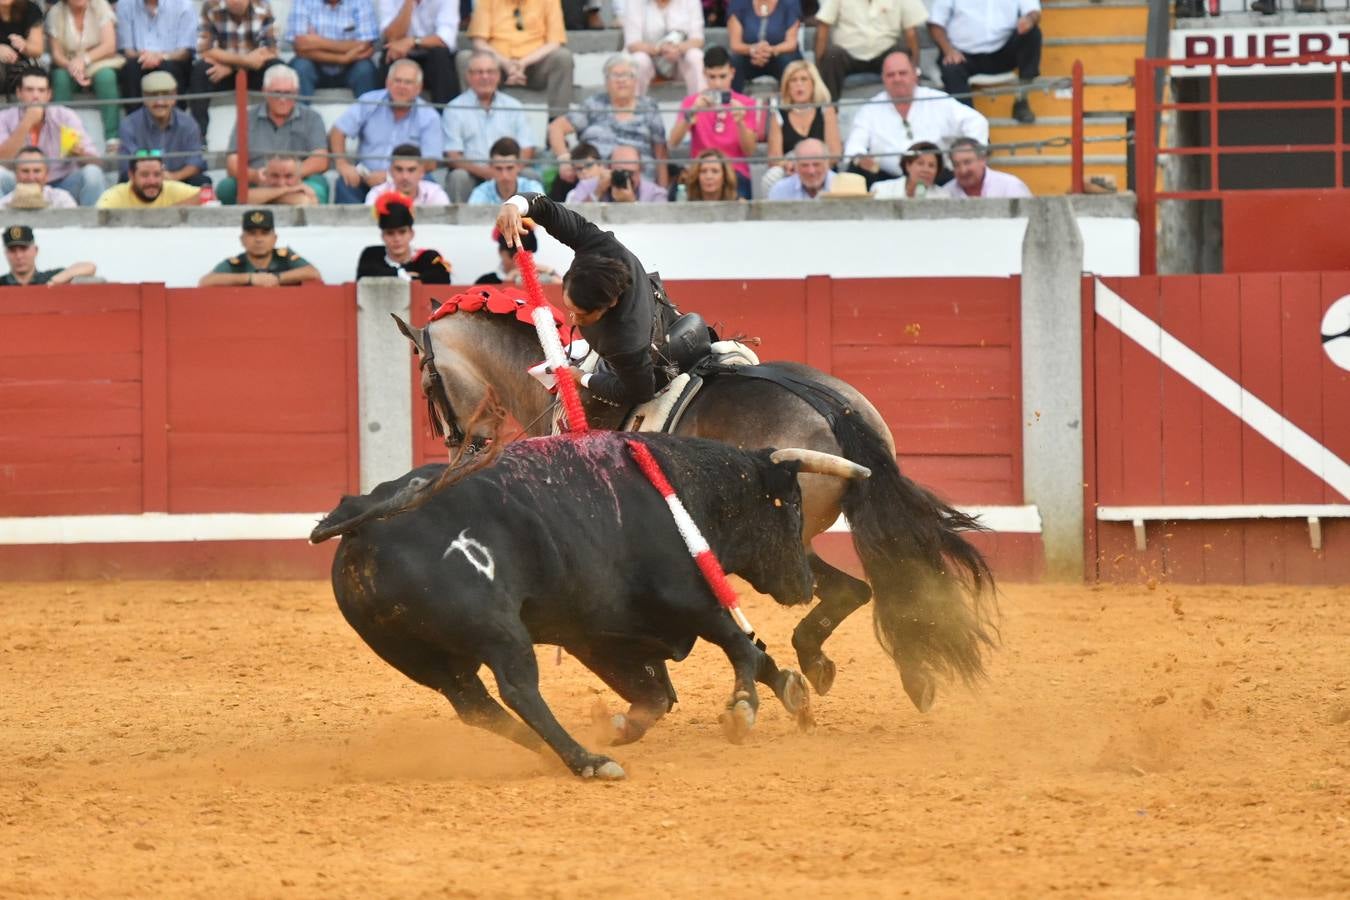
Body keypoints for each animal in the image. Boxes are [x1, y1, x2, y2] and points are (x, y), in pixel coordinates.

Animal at [309, 431, 864, 782]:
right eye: (790, 505)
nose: (804, 582)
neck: (681, 490)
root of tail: (365, 520)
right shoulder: (687, 598)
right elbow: (739, 646)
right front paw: (742, 710)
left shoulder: (597, 634)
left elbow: (661, 692)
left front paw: (792, 692)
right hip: (500, 633)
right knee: (519, 691)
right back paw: (588, 762)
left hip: (423, 659)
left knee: (475, 706)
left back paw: (559, 753)